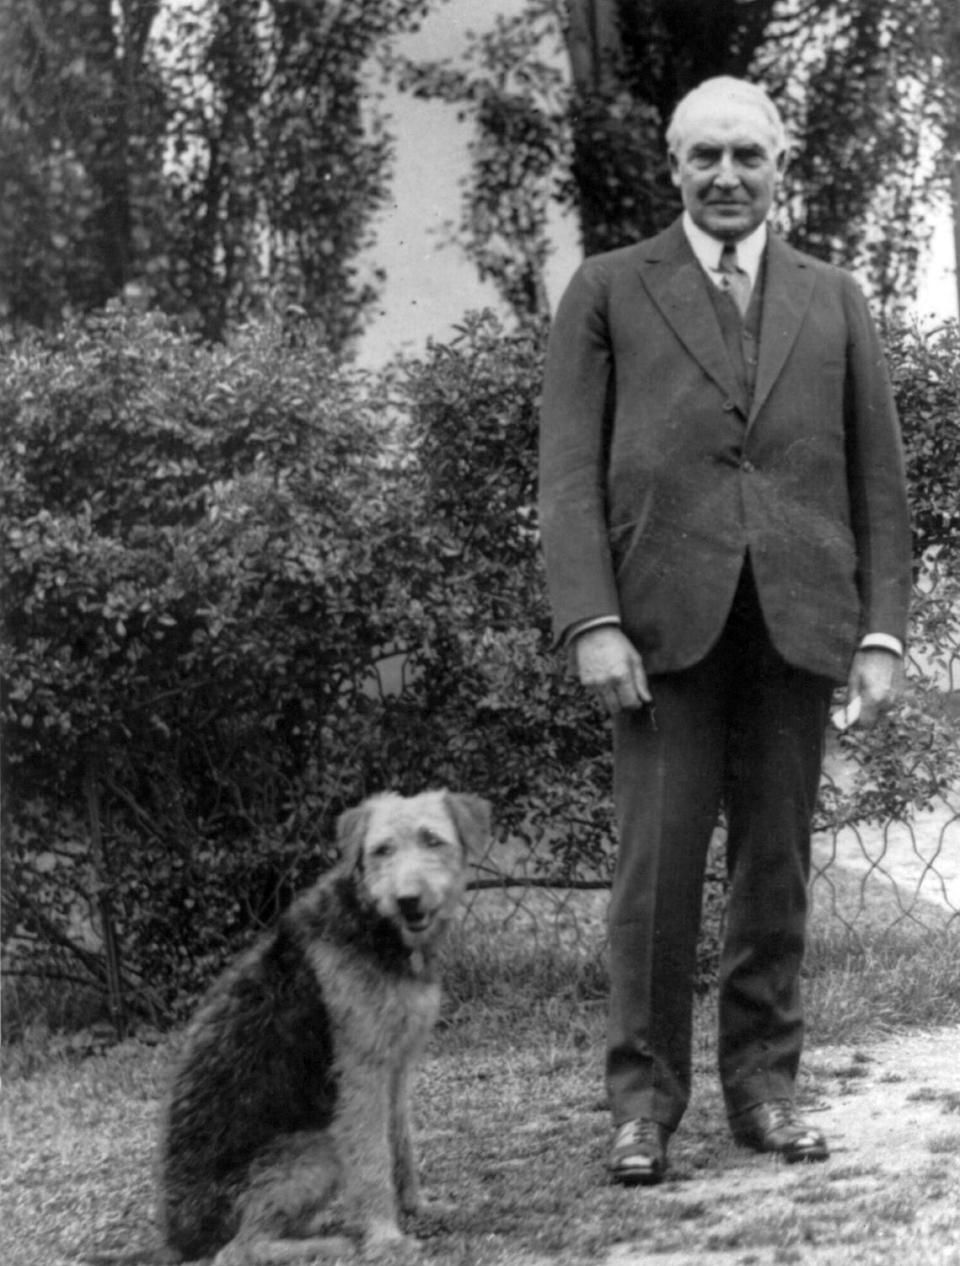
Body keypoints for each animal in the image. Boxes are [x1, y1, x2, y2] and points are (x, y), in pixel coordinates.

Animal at [158, 784, 491, 1260]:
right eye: (381, 850)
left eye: (433, 840)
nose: (407, 900)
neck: (375, 924)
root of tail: (179, 1237)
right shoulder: (362, 1071)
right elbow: (374, 1160)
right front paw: (386, 1236)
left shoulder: (396, 1067)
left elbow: (402, 1145)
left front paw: (418, 1207)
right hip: (319, 1148)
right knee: (238, 1250)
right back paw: (331, 1243)